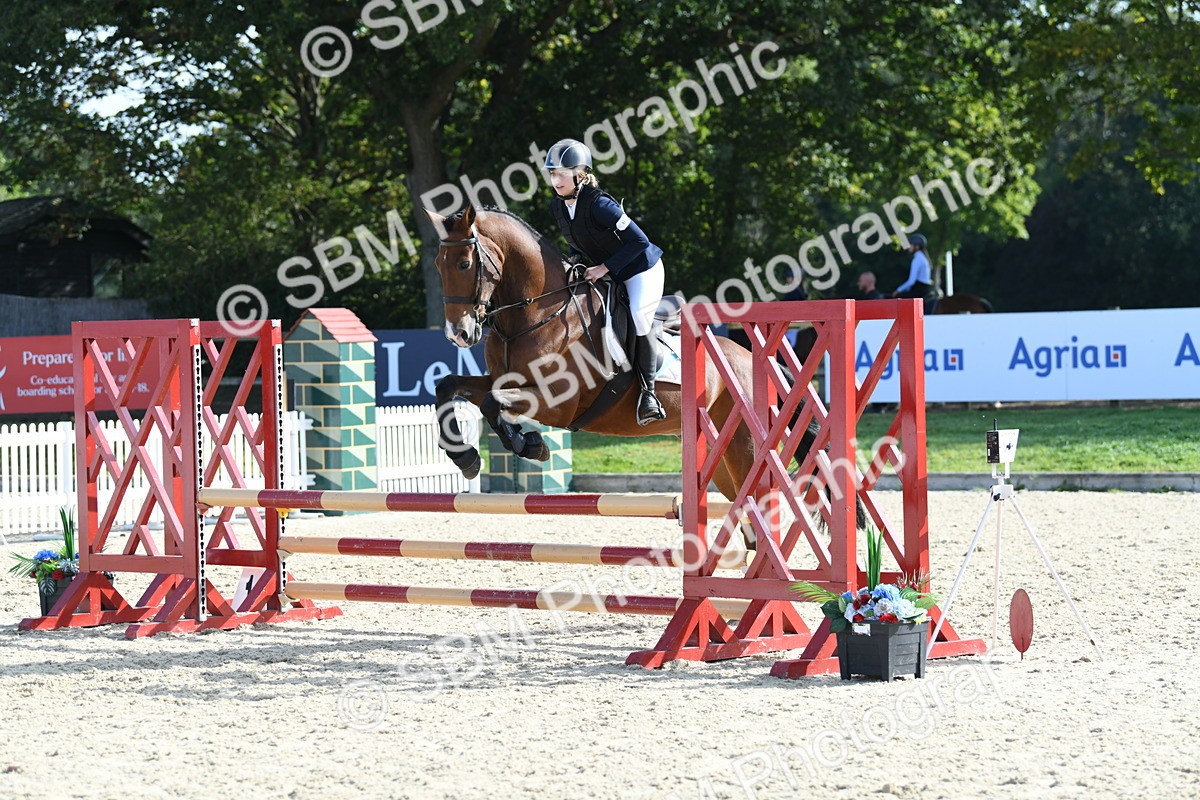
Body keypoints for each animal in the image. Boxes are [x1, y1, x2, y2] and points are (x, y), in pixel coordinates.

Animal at [425, 203, 831, 535]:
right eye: (438, 267)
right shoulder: (503, 381)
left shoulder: (559, 402)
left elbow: (493, 404)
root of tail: (754, 359)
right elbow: (449, 386)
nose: (459, 334)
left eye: (465, 264)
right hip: (723, 454)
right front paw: (467, 458)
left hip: (745, 444)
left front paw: (533, 445)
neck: (538, 313)